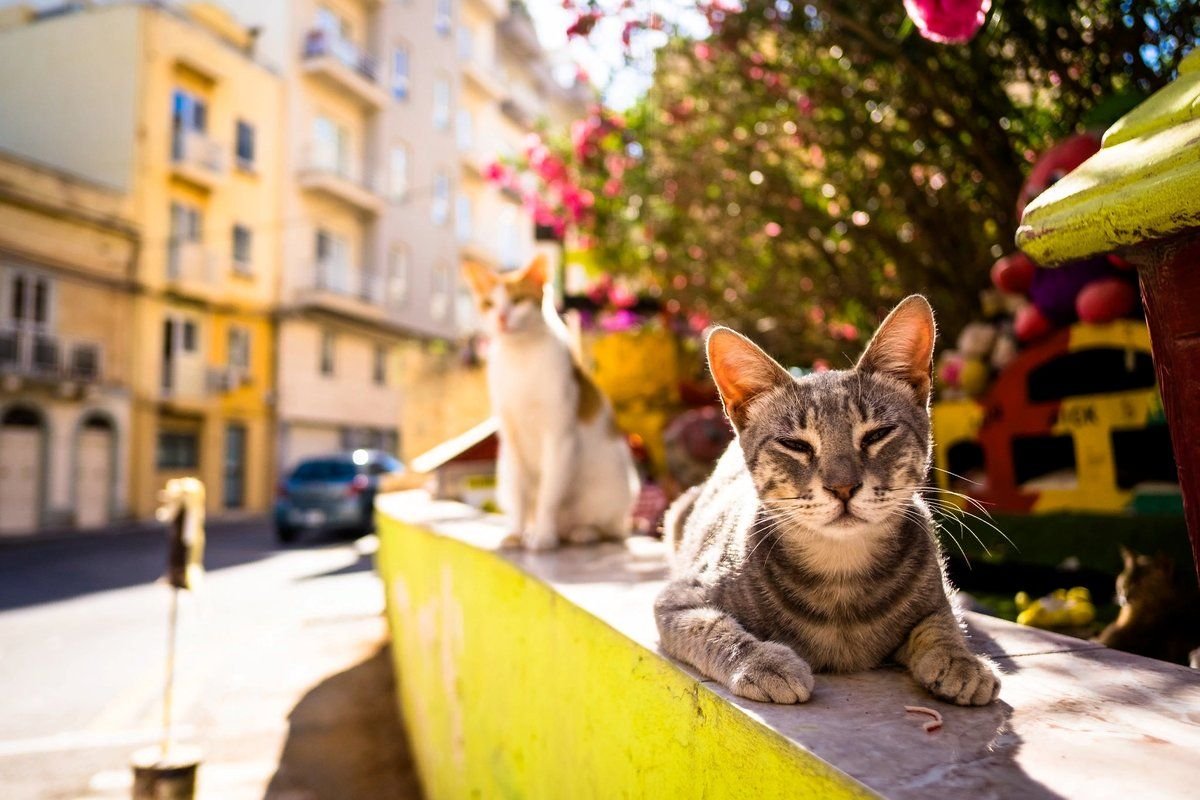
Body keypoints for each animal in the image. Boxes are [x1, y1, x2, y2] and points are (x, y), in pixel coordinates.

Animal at [463, 256, 643, 551]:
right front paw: (516, 533)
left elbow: (548, 495)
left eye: (518, 300)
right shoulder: (511, 440)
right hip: (503, 473)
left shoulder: (559, 436)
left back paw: (581, 532)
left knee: (611, 529)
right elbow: (522, 496)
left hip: (614, 489)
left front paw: (544, 536)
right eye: (489, 304)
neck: (520, 357)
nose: (501, 318)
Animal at [652, 297, 998, 705]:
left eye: (877, 434)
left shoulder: (935, 597)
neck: (840, 572)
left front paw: (961, 659)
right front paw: (764, 661)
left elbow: (942, 623)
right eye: (796, 445)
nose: (843, 486)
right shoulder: (678, 599)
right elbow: (714, 628)